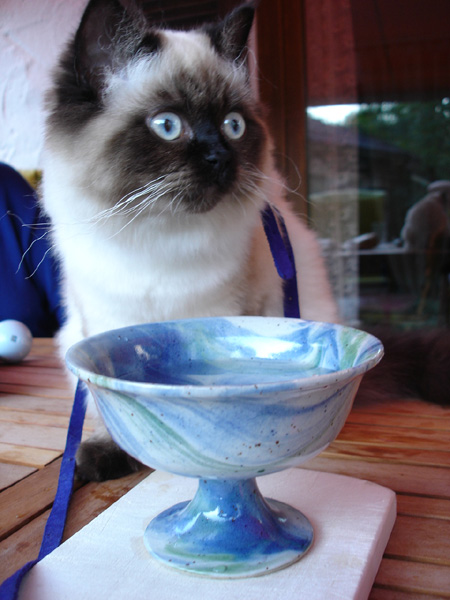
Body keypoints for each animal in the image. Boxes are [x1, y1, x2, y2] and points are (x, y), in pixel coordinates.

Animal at [40, 0, 339, 481]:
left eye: (233, 126)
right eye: (167, 125)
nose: (220, 158)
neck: (158, 236)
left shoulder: (221, 315)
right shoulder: (104, 326)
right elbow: (108, 399)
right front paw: (108, 450)